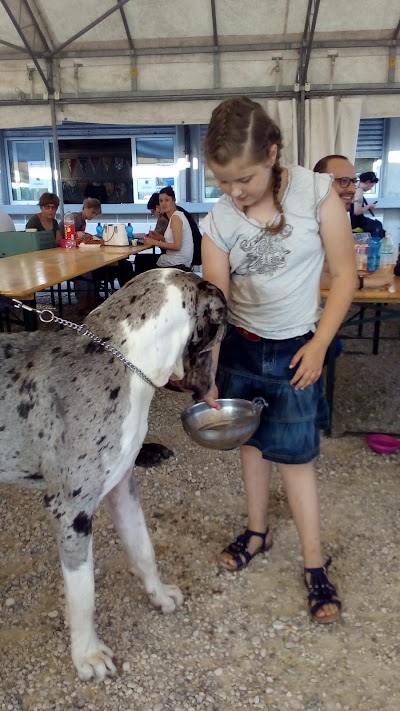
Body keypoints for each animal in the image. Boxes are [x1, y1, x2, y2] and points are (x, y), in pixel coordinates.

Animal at [0, 270, 225, 680]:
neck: (126, 359)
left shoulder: (123, 487)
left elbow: (144, 548)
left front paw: (159, 594)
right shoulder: (70, 512)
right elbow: (83, 593)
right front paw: (87, 655)